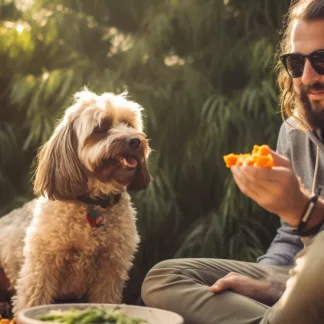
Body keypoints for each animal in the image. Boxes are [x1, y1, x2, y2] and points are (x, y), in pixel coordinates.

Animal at [0, 88, 151, 314]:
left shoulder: (110, 271)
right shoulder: (41, 267)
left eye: (129, 124)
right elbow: (33, 299)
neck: (93, 203)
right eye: (101, 127)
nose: (135, 141)